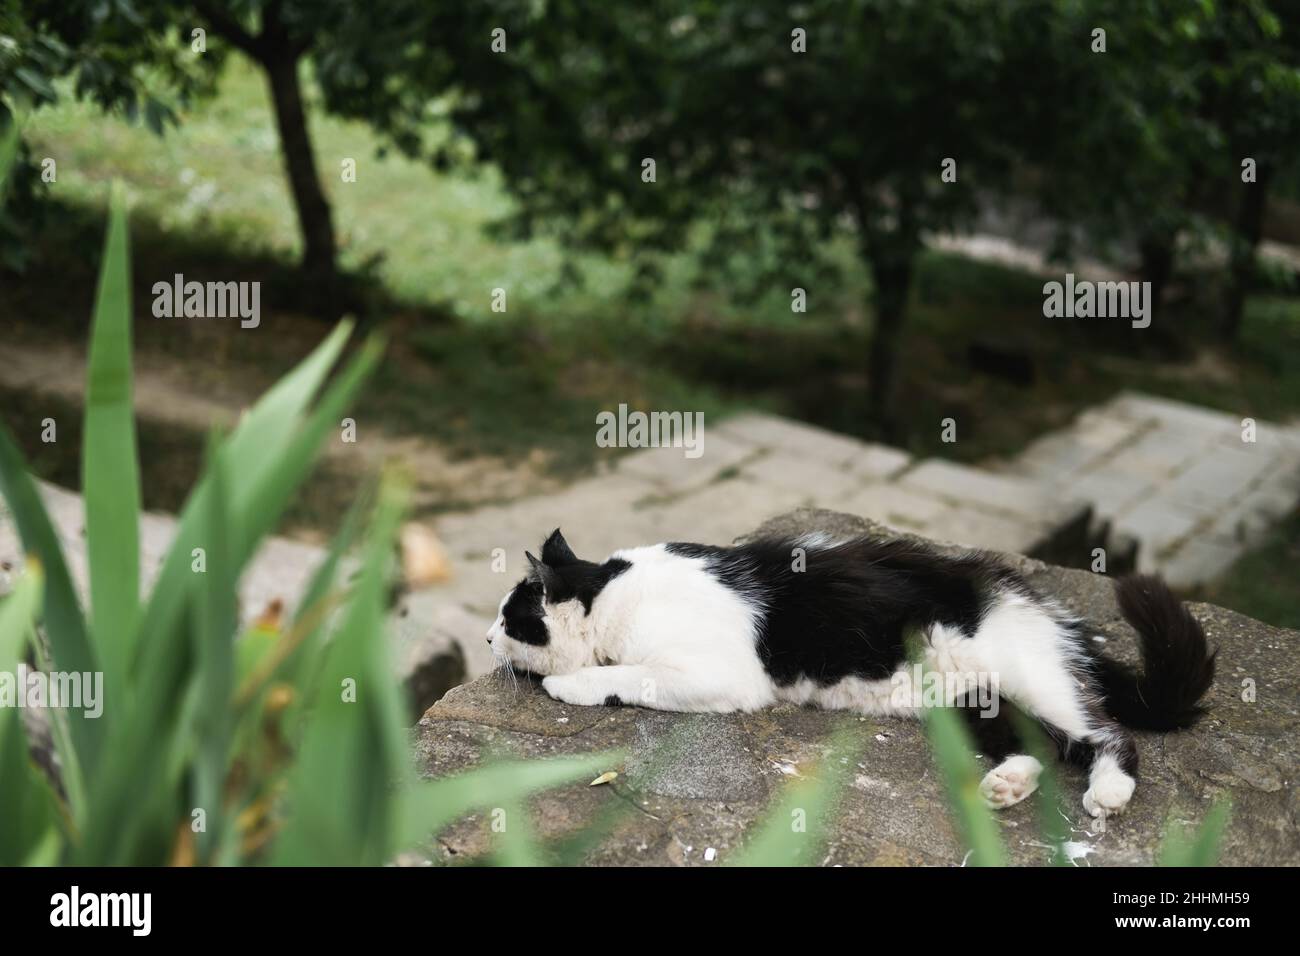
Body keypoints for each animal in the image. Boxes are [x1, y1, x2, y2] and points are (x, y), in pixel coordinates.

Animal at [488, 528, 1216, 816]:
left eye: (511, 617)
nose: (488, 635)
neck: (613, 588)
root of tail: (1045, 606)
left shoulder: (719, 674)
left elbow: (626, 674)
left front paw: (567, 683)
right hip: (967, 699)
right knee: (1033, 745)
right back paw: (1007, 786)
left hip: (1031, 676)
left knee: (1107, 735)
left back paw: (1110, 790)